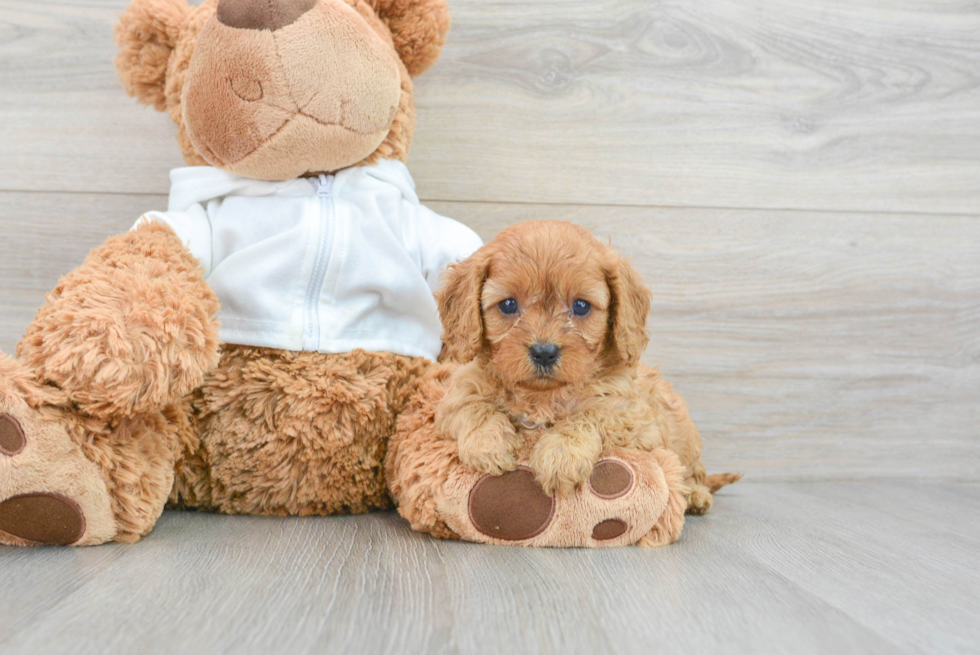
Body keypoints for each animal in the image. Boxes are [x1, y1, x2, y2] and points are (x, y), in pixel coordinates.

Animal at [432, 220, 740, 512]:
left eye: (581, 306)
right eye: (508, 304)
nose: (544, 352)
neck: (542, 396)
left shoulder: (634, 417)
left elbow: (590, 414)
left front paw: (561, 455)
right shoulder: (458, 393)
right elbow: (474, 407)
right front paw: (489, 445)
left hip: (686, 438)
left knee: (694, 473)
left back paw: (696, 496)